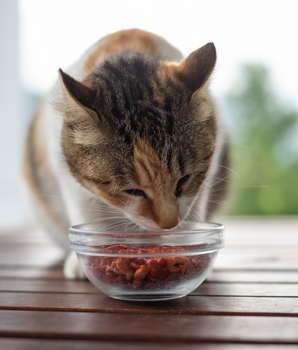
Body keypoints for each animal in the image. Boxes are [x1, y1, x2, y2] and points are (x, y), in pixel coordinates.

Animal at [22, 28, 229, 278]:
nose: (169, 224)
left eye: (184, 179)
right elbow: (87, 213)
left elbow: (195, 208)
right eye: (132, 191)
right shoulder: (65, 171)